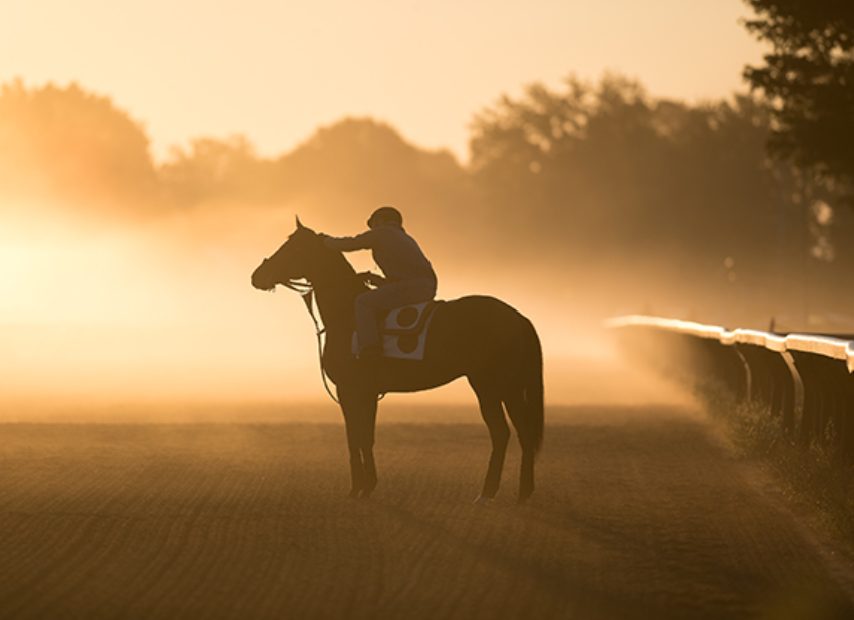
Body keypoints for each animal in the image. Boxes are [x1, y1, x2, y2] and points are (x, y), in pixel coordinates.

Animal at [251, 218, 544, 502]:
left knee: (508, 432)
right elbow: (363, 437)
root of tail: (517, 317)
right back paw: (512, 492)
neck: (346, 314)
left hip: (494, 386)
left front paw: (359, 489)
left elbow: (357, 437)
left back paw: (495, 493)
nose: (257, 276)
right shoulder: (364, 393)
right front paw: (367, 486)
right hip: (499, 387)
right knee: (514, 432)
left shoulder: (351, 391)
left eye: (293, 248)